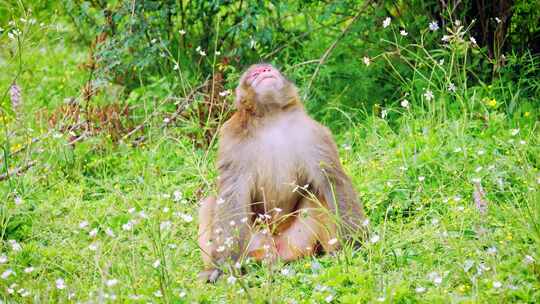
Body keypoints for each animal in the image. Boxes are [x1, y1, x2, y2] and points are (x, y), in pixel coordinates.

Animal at [198, 63, 368, 282]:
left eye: (266, 69)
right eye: (254, 74)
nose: (264, 72)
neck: (272, 117)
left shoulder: (313, 133)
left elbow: (331, 180)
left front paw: (356, 243)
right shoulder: (232, 138)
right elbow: (232, 195)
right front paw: (223, 266)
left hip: (299, 240)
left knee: (317, 194)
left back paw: (333, 252)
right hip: (256, 243)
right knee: (210, 203)